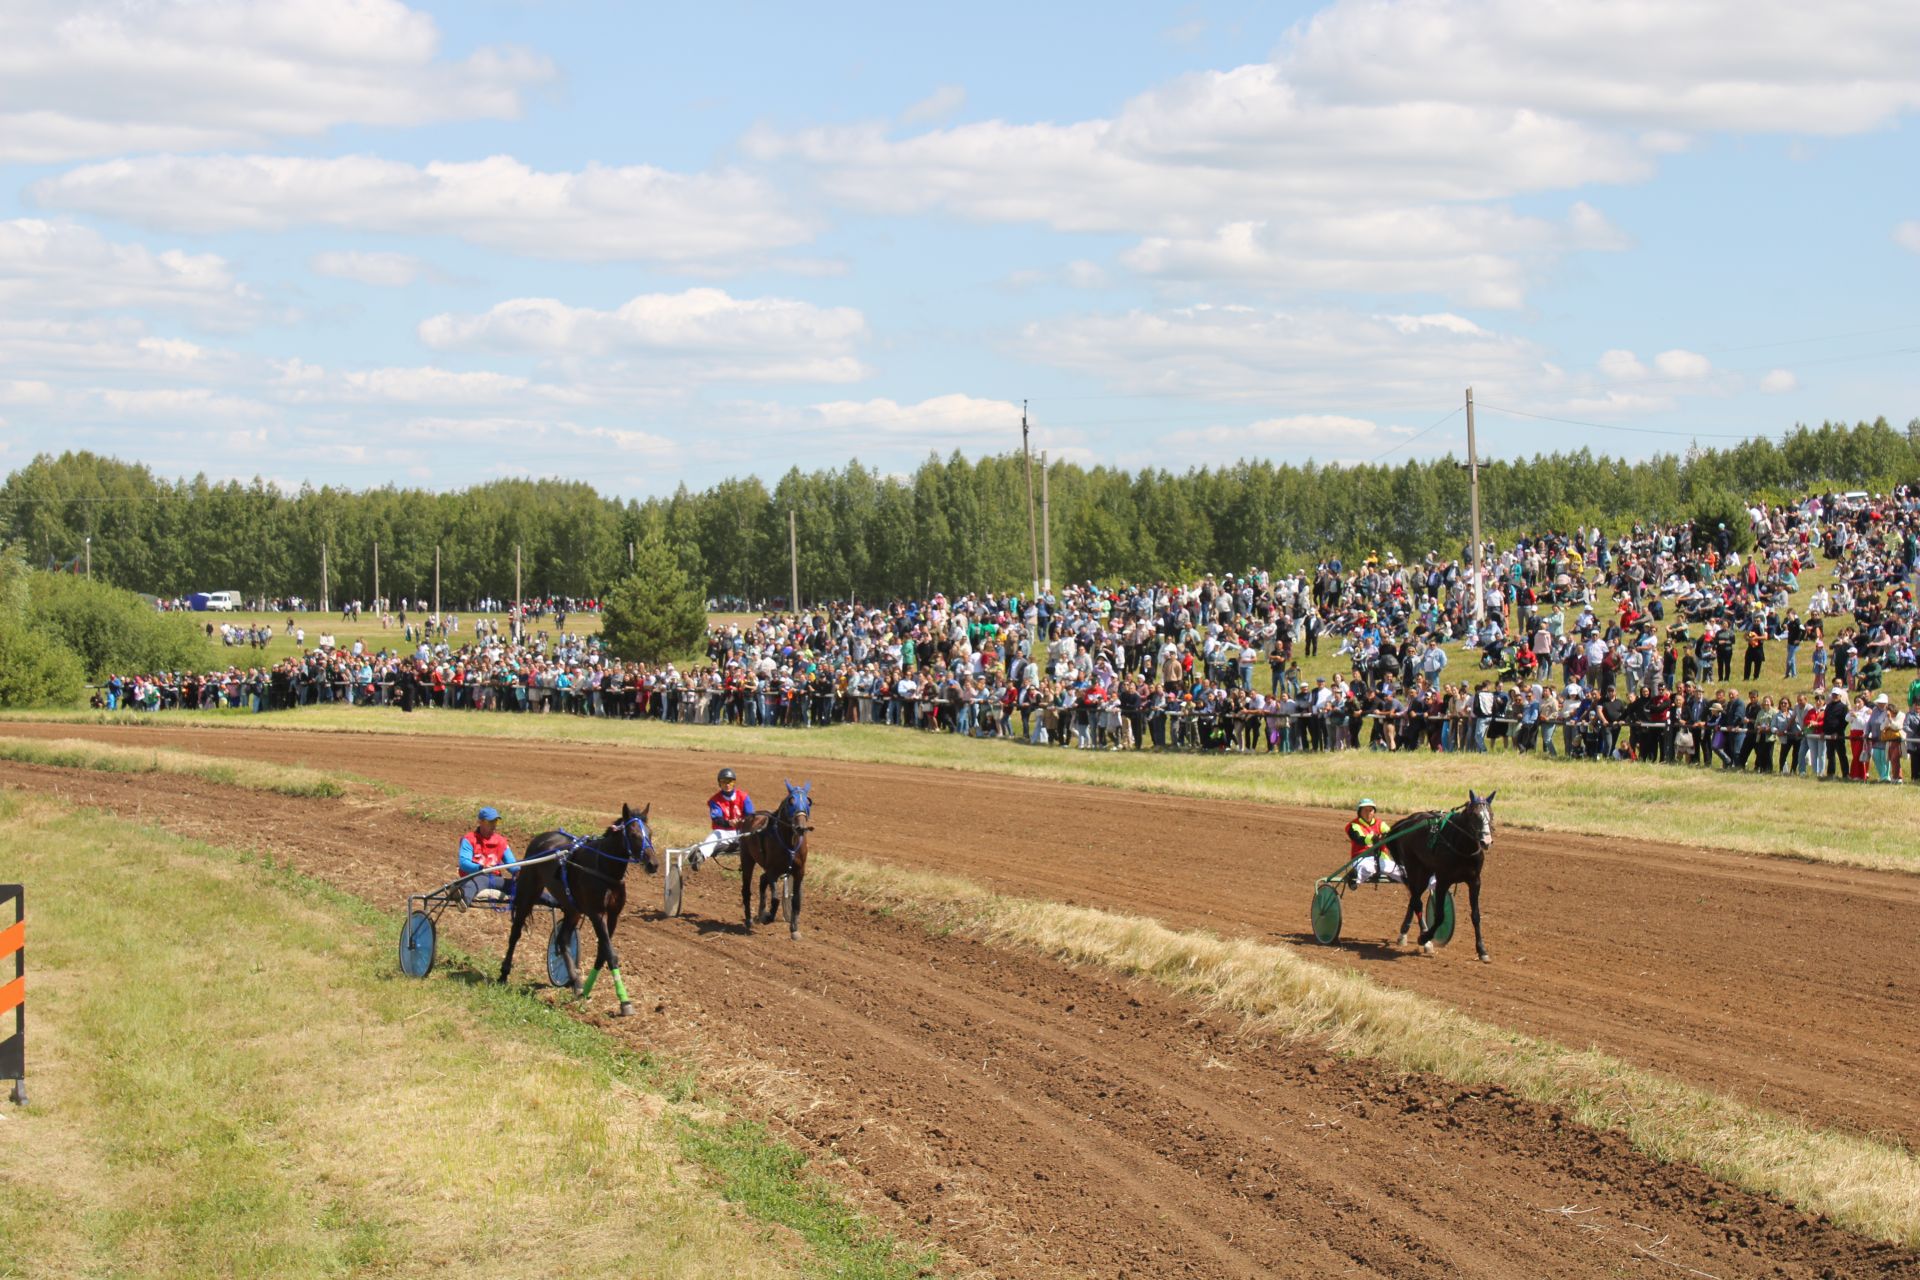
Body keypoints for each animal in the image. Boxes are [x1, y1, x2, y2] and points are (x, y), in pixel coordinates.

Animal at [499, 805, 656, 1013]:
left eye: (650, 833)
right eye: (633, 834)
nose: (653, 864)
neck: (604, 868)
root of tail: (541, 837)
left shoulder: (613, 914)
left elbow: (602, 953)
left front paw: (586, 989)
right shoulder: (596, 914)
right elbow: (610, 954)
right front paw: (625, 1002)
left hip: (572, 909)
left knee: (562, 939)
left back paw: (575, 981)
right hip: (528, 892)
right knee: (516, 932)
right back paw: (503, 973)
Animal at [733, 782, 810, 940]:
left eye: (808, 801)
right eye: (791, 801)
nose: (801, 827)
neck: (790, 843)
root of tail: (749, 817)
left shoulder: (799, 872)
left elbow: (796, 900)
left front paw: (794, 929)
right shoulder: (773, 871)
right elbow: (775, 899)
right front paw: (767, 917)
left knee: (763, 879)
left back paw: (760, 912)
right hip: (747, 859)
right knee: (746, 889)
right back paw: (750, 919)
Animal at [1397, 790, 1497, 959]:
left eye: (1491, 814)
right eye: (1474, 815)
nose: (1486, 841)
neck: (1463, 848)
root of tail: (1410, 819)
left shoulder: (1475, 881)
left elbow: (1476, 915)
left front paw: (1482, 950)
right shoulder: (1443, 880)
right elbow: (1440, 915)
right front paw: (1424, 937)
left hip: (1426, 870)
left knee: (1414, 898)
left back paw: (1405, 933)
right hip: (1414, 867)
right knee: (1416, 899)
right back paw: (1419, 936)